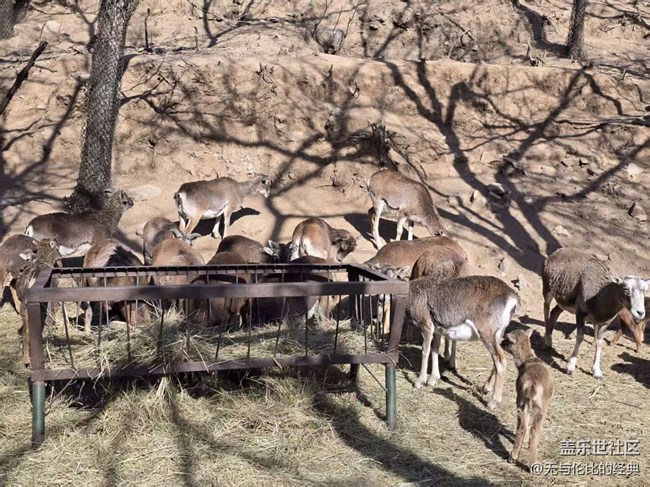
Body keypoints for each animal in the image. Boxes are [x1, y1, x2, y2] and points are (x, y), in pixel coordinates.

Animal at [542, 248, 648, 378]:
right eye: (626, 289)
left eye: (645, 290)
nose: (640, 312)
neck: (599, 299)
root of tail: (557, 252)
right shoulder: (580, 313)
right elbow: (580, 337)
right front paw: (570, 367)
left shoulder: (604, 322)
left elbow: (599, 343)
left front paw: (597, 371)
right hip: (547, 290)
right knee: (546, 309)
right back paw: (546, 341)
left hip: (563, 302)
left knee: (554, 312)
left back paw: (550, 343)